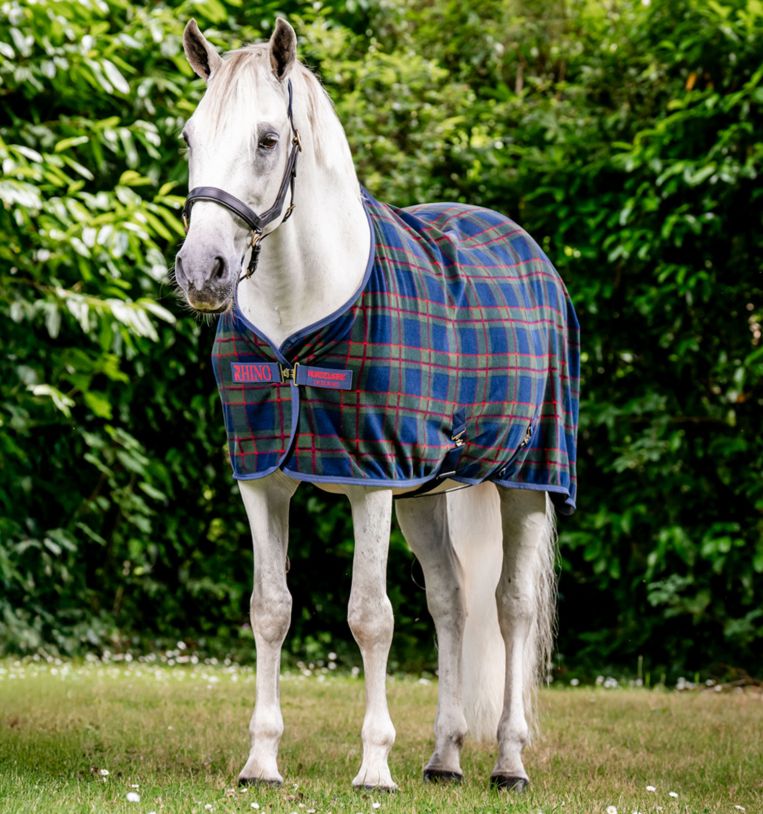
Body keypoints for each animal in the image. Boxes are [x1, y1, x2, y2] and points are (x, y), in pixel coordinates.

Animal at [174, 17, 579, 792]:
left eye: (267, 139)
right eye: (189, 137)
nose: (202, 270)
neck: (300, 319)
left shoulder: (370, 483)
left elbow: (370, 617)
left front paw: (373, 767)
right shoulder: (265, 481)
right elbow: (270, 610)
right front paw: (261, 761)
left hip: (527, 480)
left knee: (510, 608)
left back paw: (508, 761)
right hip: (422, 491)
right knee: (451, 599)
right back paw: (444, 756)